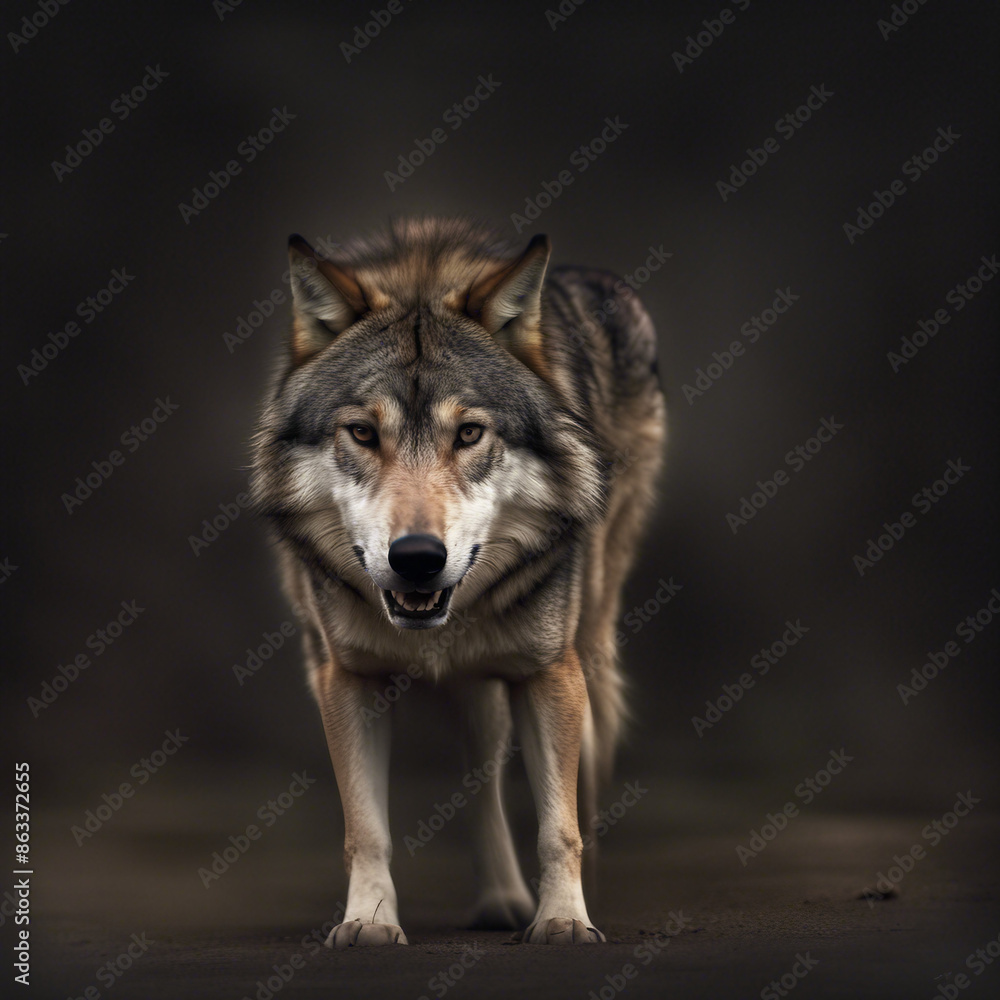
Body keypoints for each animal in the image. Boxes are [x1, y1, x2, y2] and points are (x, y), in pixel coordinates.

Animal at [250, 218, 666, 946]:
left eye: (469, 433)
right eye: (362, 433)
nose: (417, 557)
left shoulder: (549, 672)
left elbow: (559, 827)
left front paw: (564, 920)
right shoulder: (344, 678)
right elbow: (366, 829)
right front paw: (368, 923)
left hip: (587, 644)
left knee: (560, 783)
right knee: (481, 776)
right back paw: (500, 898)